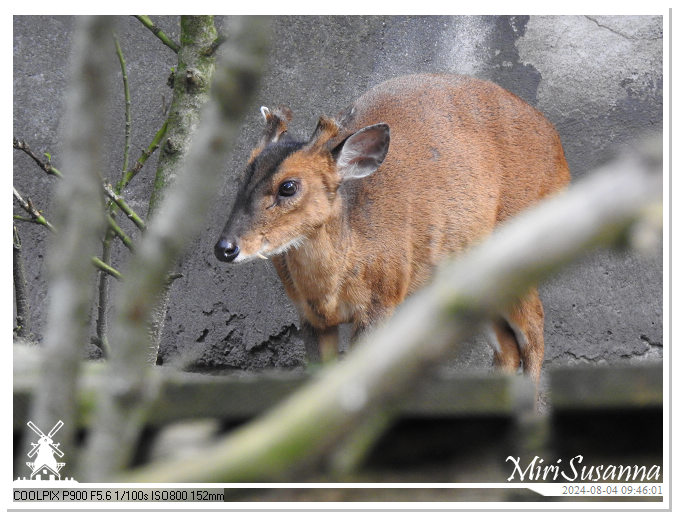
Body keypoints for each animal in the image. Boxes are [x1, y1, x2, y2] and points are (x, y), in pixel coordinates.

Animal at [215, 74, 572, 382]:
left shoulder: (382, 298)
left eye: (288, 186)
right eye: (242, 177)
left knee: (534, 329)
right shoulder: (309, 317)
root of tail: (561, 154)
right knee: (508, 347)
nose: (225, 248)